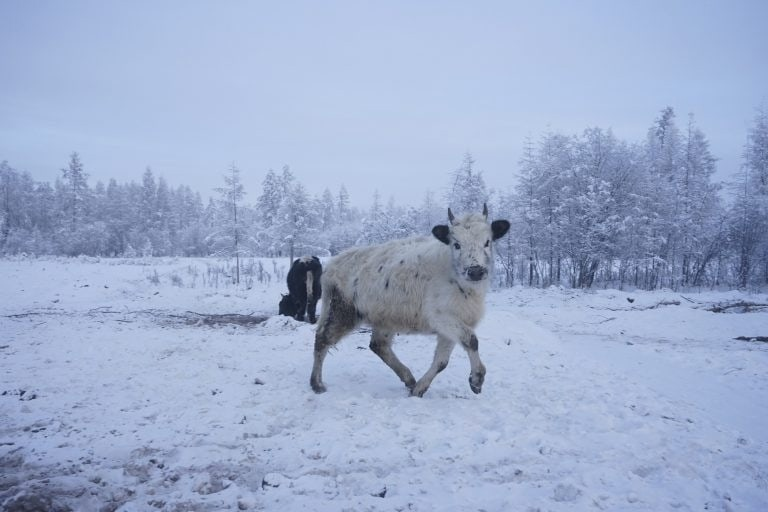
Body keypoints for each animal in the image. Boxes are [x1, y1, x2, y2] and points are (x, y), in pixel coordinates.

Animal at [308, 204, 512, 396]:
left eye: (487, 242)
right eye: (456, 244)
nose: (476, 271)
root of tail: (332, 265)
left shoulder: (454, 323)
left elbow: (442, 361)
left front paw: (420, 389)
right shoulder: (441, 317)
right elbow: (471, 340)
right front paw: (477, 379)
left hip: (385, 318)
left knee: (378, 345)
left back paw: (409, 379)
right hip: (342, 310)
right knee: (322, 339)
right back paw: (317, 384)